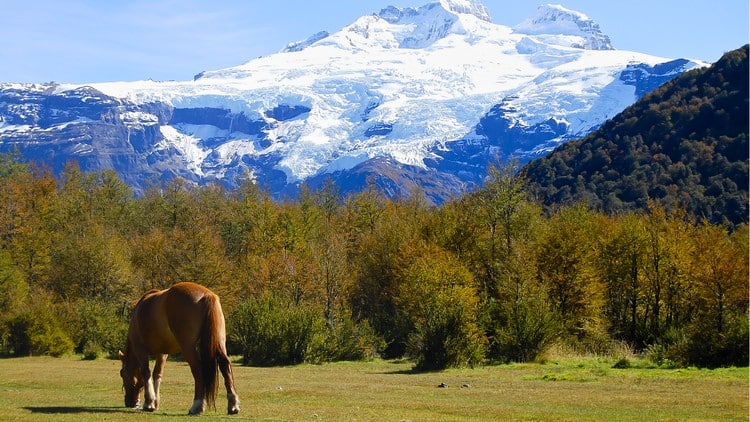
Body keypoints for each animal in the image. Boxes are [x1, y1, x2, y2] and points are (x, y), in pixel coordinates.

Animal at [119, 282, 241, 414]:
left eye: (122, 374)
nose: (130, 402)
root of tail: (207, 295)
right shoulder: (162, 353)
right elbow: (157, 373)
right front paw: (155, 402)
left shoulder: (140, 349)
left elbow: (146, 372)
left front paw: (149, 403)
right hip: (219, 342)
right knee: (225, 365)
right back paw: (233, 405)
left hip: (188, 347)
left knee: (197, 369)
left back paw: (197, 405)